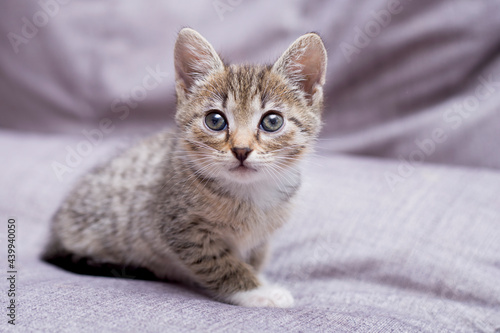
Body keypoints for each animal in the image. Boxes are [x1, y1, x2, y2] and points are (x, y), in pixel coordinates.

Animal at [41, 27, 326, 306]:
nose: (241, 150)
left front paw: (260, 279)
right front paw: (256, 291)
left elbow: (255, 257)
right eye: (215, 120)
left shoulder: (261, 237)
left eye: (272, 122)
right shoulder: (181, 230)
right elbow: (220, 264)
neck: (248, 193)